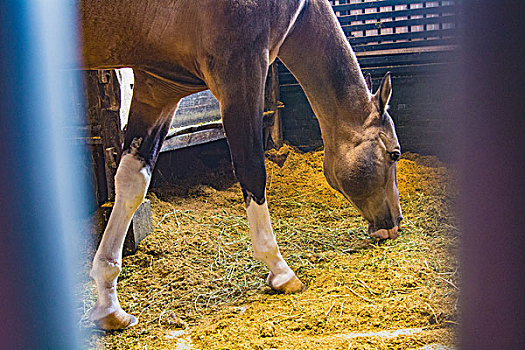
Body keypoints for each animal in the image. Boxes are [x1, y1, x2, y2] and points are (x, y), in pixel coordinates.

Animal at [82, 0, 402, 330]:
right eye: (395, 154)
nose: (395, 223)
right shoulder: (241, 68)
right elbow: (253, 173)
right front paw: (280, 270)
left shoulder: (158, 88)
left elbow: (132, 184)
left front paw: (109, 304)